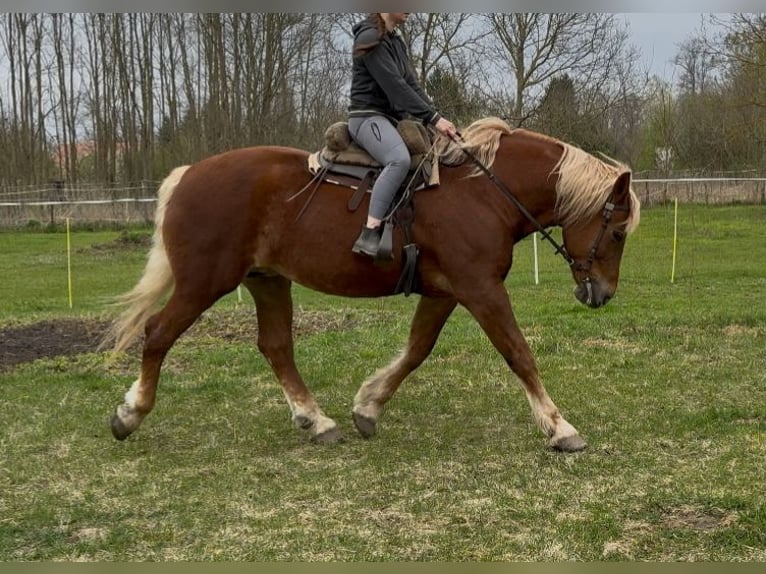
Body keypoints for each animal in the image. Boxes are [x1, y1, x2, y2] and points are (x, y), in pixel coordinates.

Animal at [106, 117, 640, 452]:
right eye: (616, 232)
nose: (602, 294)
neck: (484, 193)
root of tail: (187, 175)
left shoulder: (447, 292)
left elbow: (417, 350)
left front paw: (368, 406)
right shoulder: (481, 289)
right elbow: (518, 353)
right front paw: (559, 427)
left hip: (268, 281)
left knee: (276, 346)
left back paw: (316, 420)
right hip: (204, 283)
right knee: (157, 334)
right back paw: (131, 413)